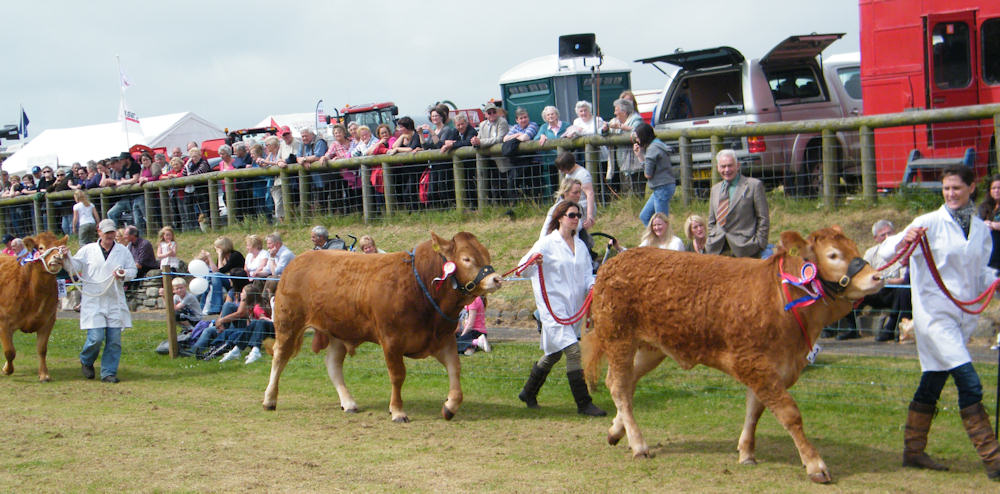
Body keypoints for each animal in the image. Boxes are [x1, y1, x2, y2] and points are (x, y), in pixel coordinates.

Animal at [0, 232, 69, 382]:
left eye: (59, 247)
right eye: (41, 247)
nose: (57, 257)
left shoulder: (48, 320)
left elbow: (42, 349)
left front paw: (44, 374)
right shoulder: (4, 322)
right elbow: (10, 351)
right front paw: (7, 370)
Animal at [264, 232, 504, 420]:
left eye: (485, 254)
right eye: (466, 258)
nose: (496, 278)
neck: (420, 284)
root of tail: (300, 259)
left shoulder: (443, 338)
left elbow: (455, 369)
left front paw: (450, 406)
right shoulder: (391, 340)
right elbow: (398, 375)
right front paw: (397, 411)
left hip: (339, 331)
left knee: (332, 364)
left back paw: (348, 402)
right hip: (288, 323)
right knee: (279, 357)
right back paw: (269, 399)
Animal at [584, 228, 884, 482]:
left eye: (855, 248)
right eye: (833, 255)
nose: (877, 277)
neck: (781, 298)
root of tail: (615, 262)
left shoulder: (770, 368)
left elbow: (754, 410)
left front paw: (747, 452)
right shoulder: (753, 363)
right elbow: (789, 414)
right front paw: (815, 464)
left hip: (651, 349)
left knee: (626, 383)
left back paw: (616, 431)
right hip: (619, 338)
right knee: (619, 386)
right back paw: (638, 444)